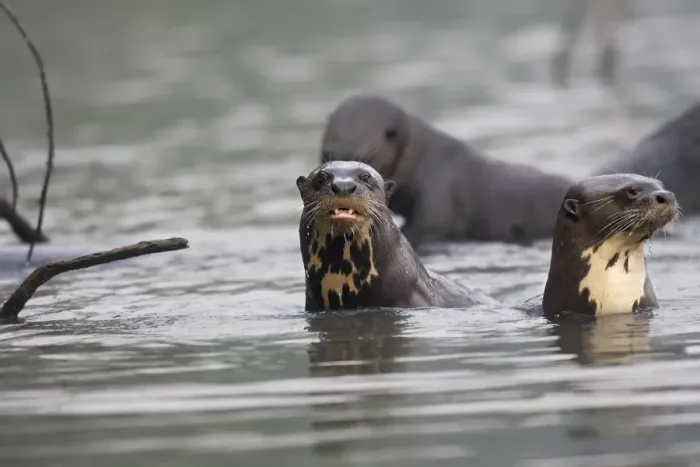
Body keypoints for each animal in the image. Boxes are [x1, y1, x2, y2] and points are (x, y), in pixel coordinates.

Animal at [320, 93, 573, 248]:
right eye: (326, 156)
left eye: (363, 163)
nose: (340, 189)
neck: (421, 160)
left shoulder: (439, 194)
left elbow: (429, 225)